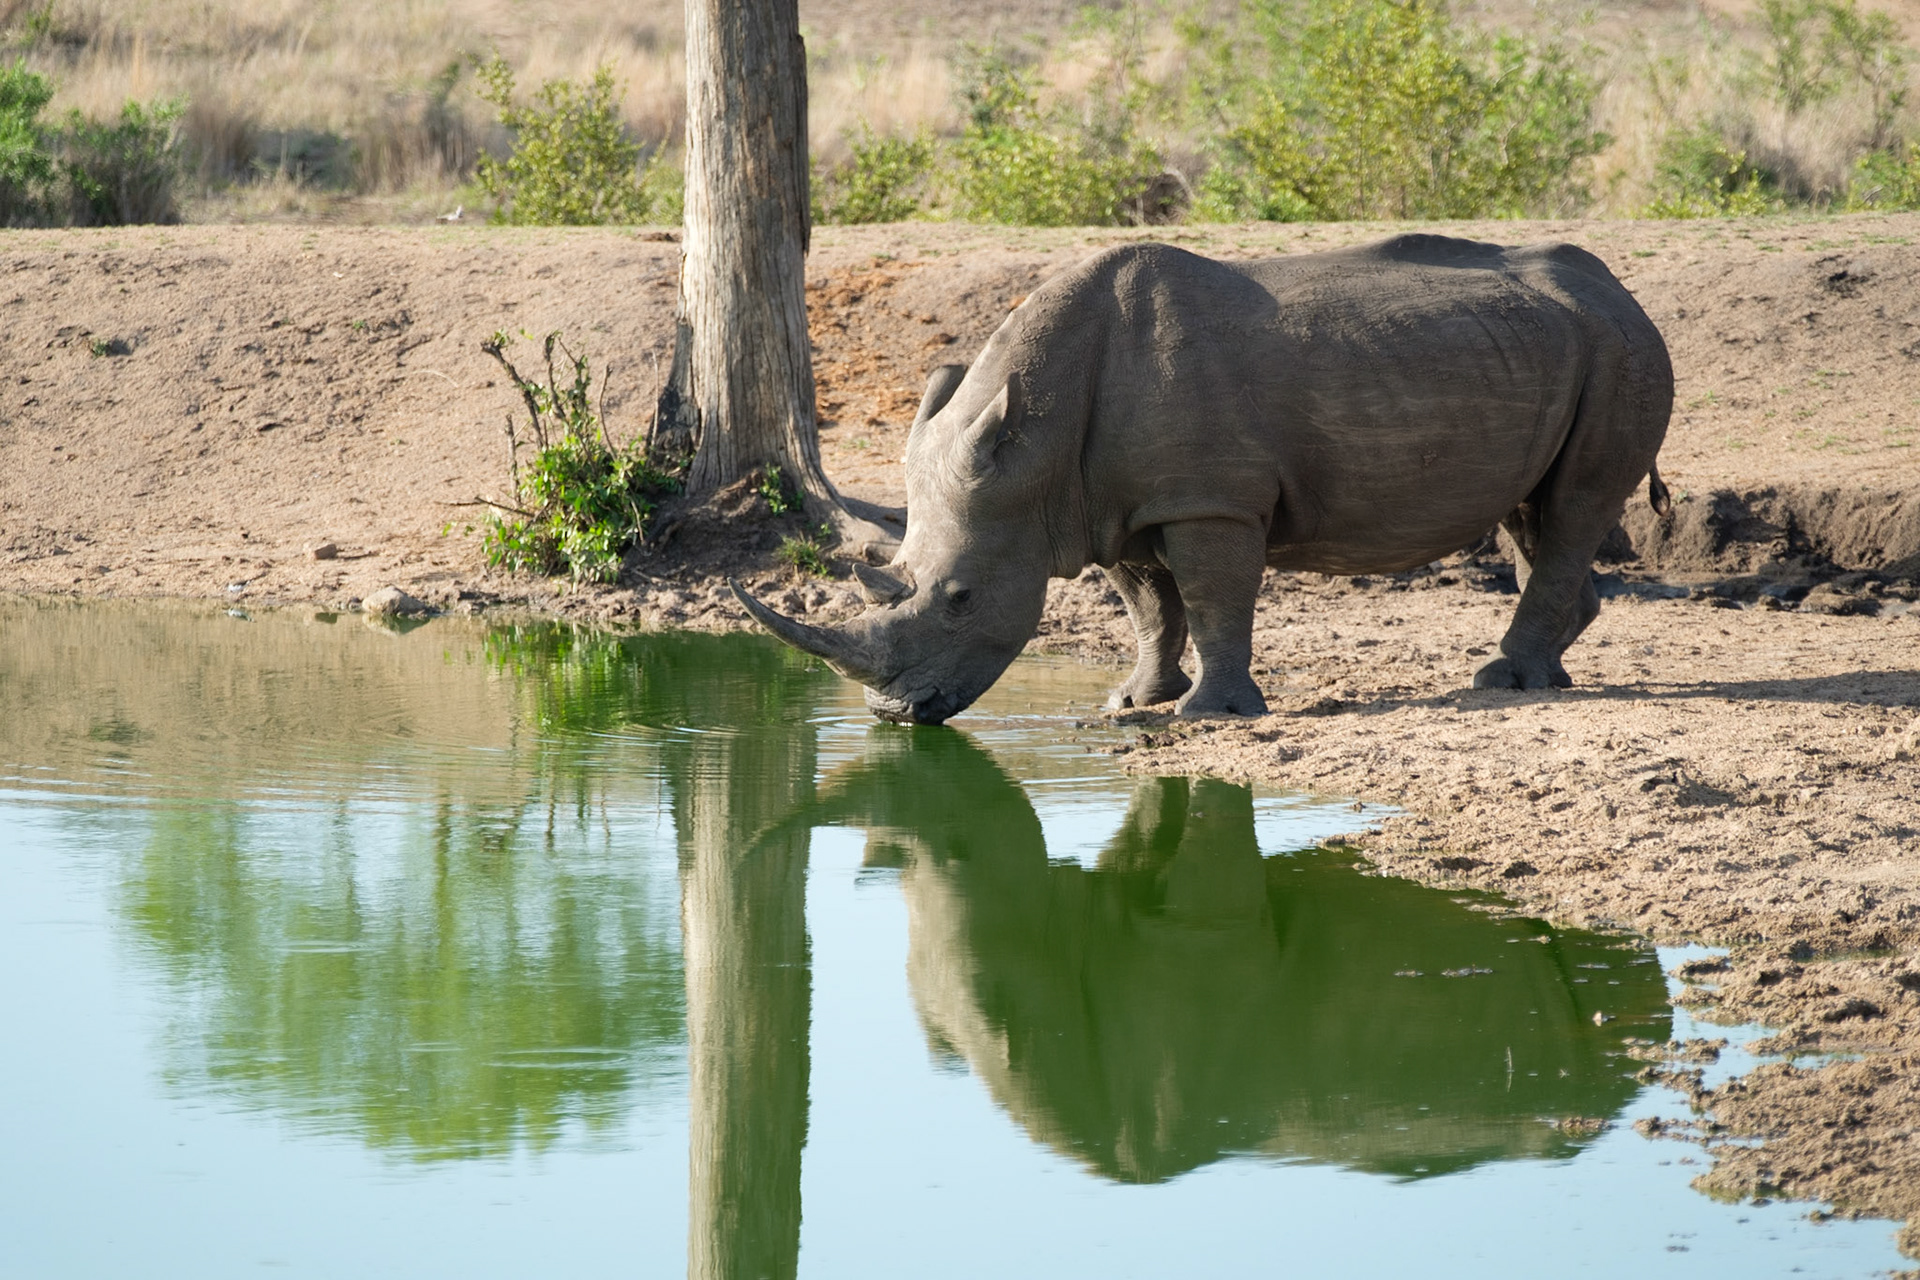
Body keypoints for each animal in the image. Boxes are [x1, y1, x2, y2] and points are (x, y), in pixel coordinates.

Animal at [736, 234, 1673, 725]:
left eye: (961, 599)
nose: (894, 716)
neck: (1035, 440)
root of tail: (1619, 287)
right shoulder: (1102, 504)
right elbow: (1149, 606)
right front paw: (1132, 701)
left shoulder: (1209, 502)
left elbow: (1215, 598)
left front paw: (1209, 714)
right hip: (1555, 347)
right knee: (1536, 511)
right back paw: (1542, 673)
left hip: (1624, 349)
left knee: (1578, 503)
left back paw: (1504, 682)